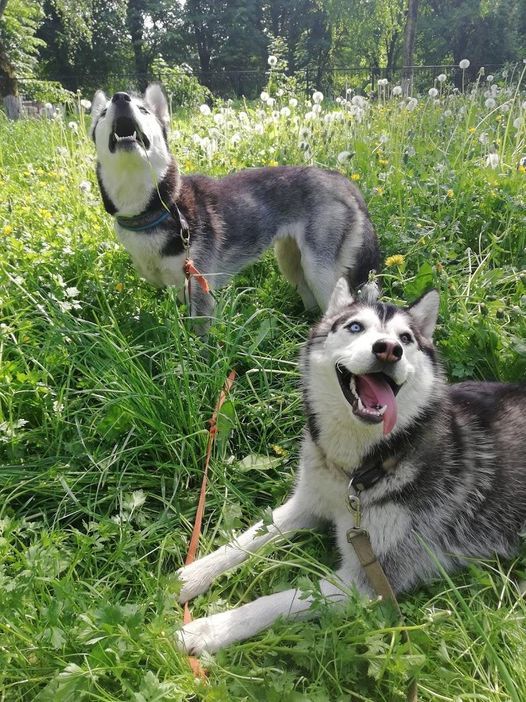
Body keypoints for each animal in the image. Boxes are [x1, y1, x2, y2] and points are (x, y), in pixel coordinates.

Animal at [89, 84, 380, 326]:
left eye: (144, 110)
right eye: (103, 113)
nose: (120, 98)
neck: (160, 208)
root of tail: (340, 178)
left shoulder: (200, 291)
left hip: (318, 270)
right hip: (291, 261)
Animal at [177, 280, 526, 660]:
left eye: (406, 338)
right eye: (355, 327)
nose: (389, 350)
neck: (356, 470)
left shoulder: (370, 579)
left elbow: (276, 601)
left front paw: (209, 629)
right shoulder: (308, 502)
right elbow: (249, 537)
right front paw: (194, 574)